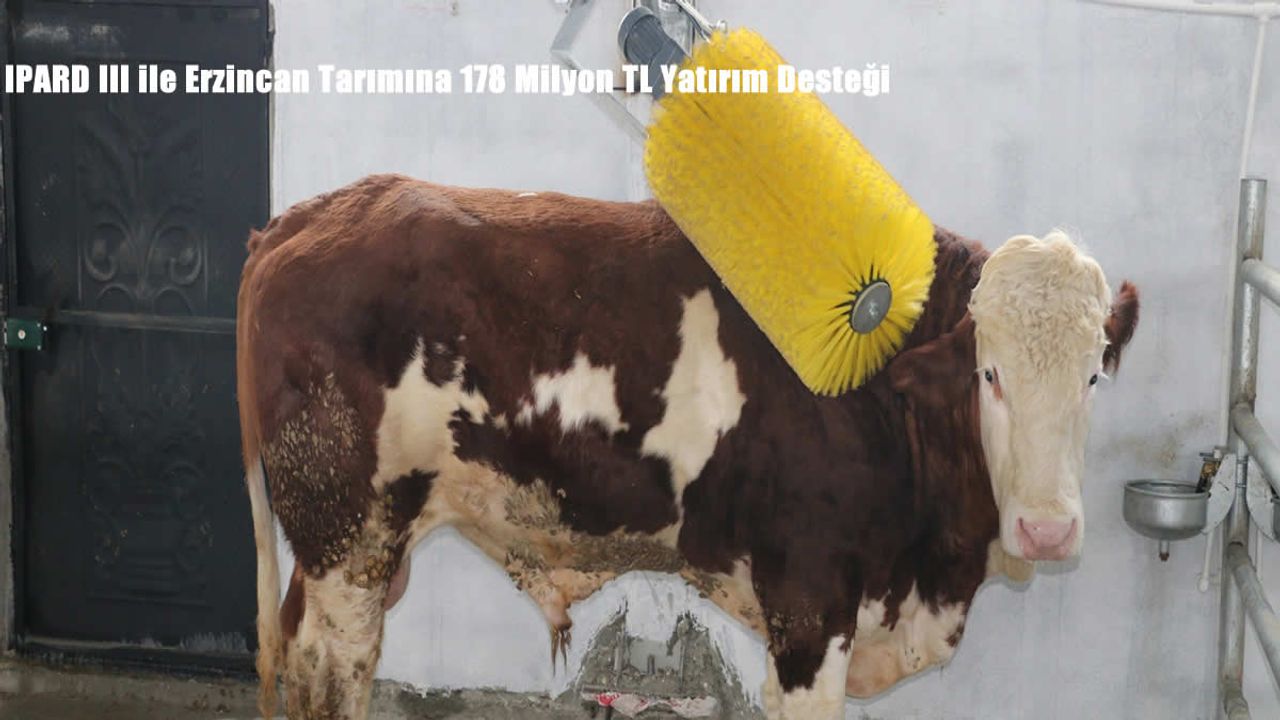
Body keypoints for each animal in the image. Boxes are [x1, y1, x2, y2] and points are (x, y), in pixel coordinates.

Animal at [236, 173, 1139, 720]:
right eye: (989, 374)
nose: (1048, 530)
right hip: (347, 533)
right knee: (335, 668)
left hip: (346, 546)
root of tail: (310, 215)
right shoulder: (811, 598)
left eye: (1096, 373)